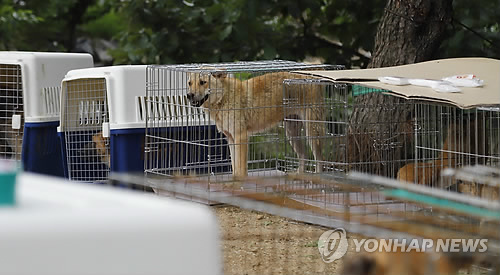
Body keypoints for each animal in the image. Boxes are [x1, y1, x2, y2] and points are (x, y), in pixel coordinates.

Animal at [187, 71, 324, 178]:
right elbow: (235, 166)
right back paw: (299, 175)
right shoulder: (231, 138)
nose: (189, 95)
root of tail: (312, 78)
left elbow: (240, 167)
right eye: (189, 83)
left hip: (312, 132)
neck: (224, 97)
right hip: (292, 133)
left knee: (319, 159)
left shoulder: (241, 137)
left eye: (203, 82)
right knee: (304, 155)